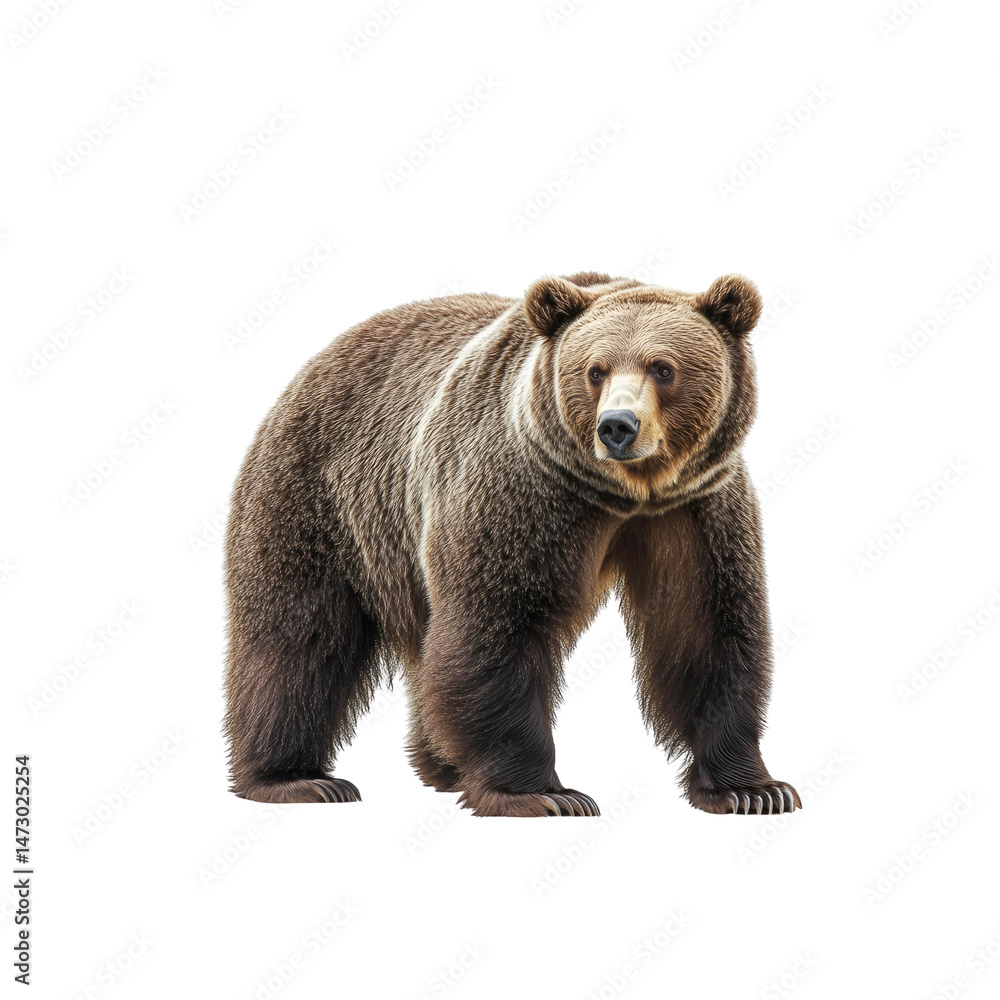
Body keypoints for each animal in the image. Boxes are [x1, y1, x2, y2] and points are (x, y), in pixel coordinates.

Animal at [223, 271, 801, 817]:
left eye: (663, 367)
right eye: (595, 370)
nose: (618, 426)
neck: (626, 495)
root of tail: (314, 362)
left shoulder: (697, 509)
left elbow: (706, 627)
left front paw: (752, 789)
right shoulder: (518, 488)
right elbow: (496, 624)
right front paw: (543, 794)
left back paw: (441, 765)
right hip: (320, 497)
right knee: (298, 636)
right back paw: (297, 779)